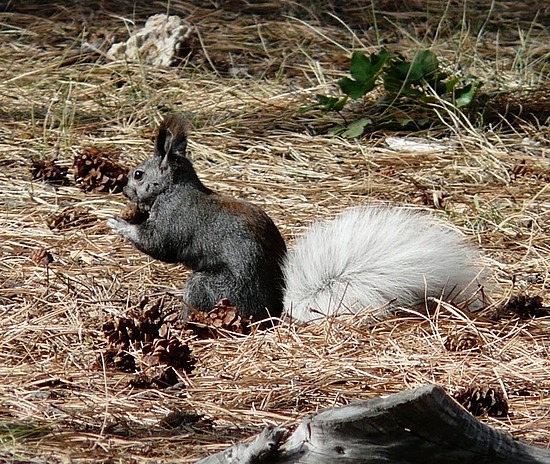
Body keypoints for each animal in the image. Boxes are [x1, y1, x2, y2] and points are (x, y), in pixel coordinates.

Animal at [109, 112, 488, 322]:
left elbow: (157, 244)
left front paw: (120, 224)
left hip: (209, 287)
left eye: (139, 174)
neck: (175, 188)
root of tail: (274, 311)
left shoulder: (174, 219)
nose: (124, 189)